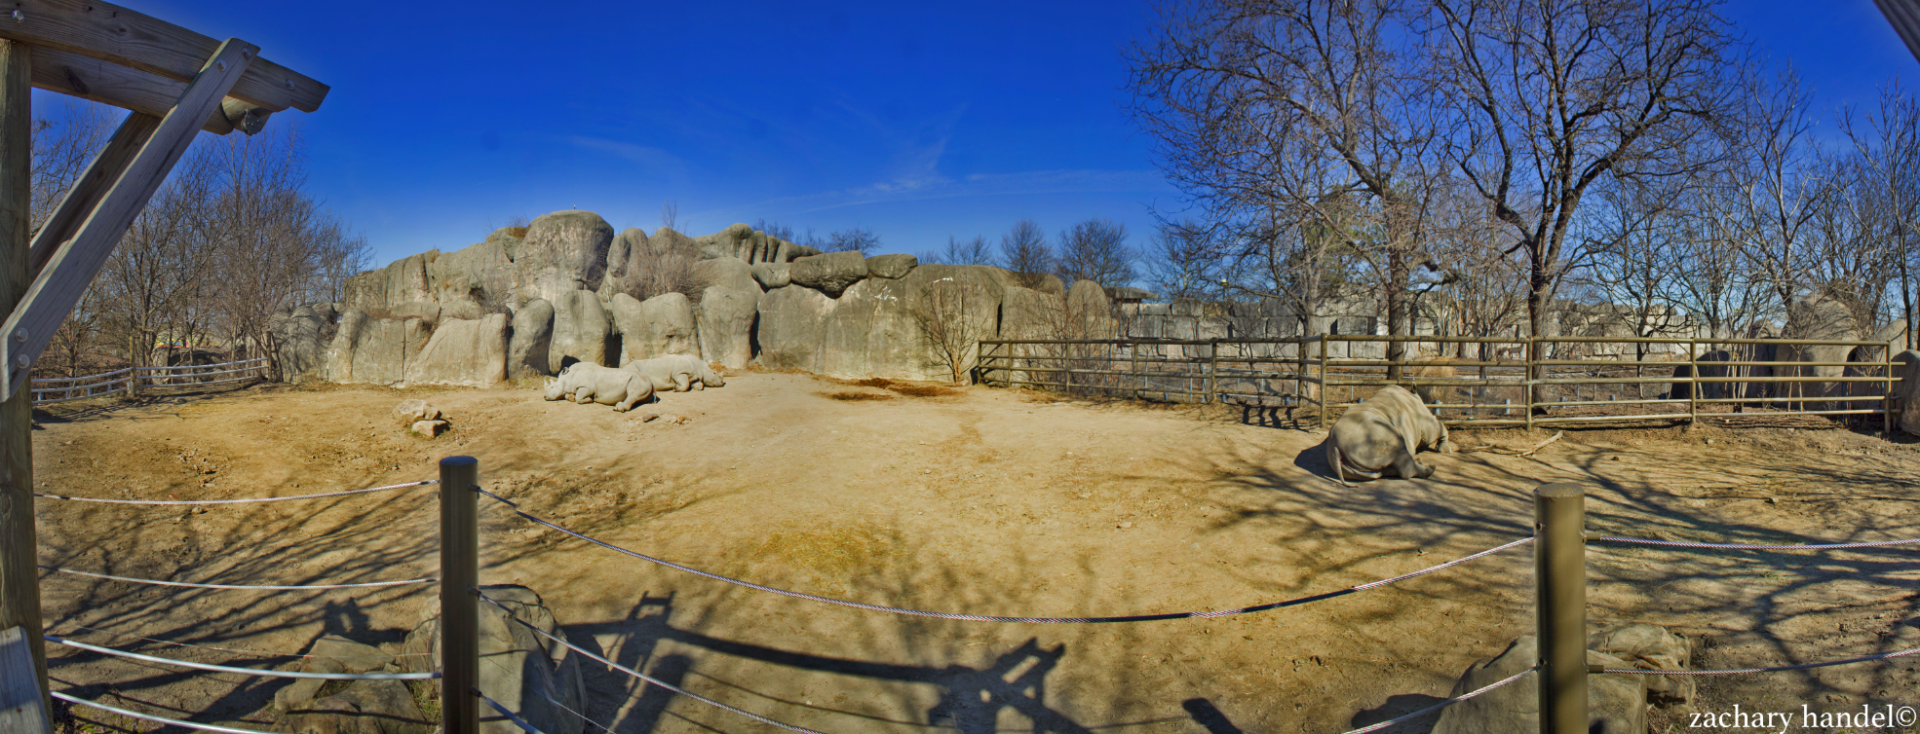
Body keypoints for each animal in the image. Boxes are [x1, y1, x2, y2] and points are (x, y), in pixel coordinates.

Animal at [1326, 384, 1454, 485]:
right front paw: (1445, 450)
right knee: (1399, 451)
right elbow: (1438, 427)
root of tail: (1335, 447)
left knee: (1386, 468)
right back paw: (1430, 469)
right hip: (1369, 436)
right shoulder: (1425, 423)